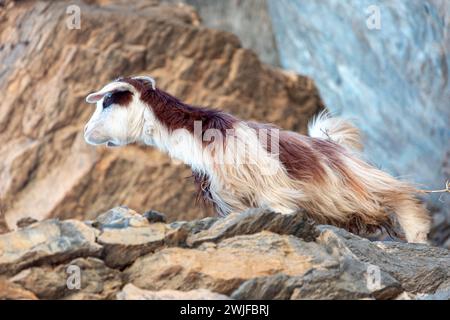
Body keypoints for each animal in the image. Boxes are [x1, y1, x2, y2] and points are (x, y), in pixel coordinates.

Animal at [84, 76, 432, 244]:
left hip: (359, 182)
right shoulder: (234, 200)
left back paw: (418, 238)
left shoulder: (274, 192)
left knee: (401, 196)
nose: (87, 132)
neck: (203, 139)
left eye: (107, 101)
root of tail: (331, 143)